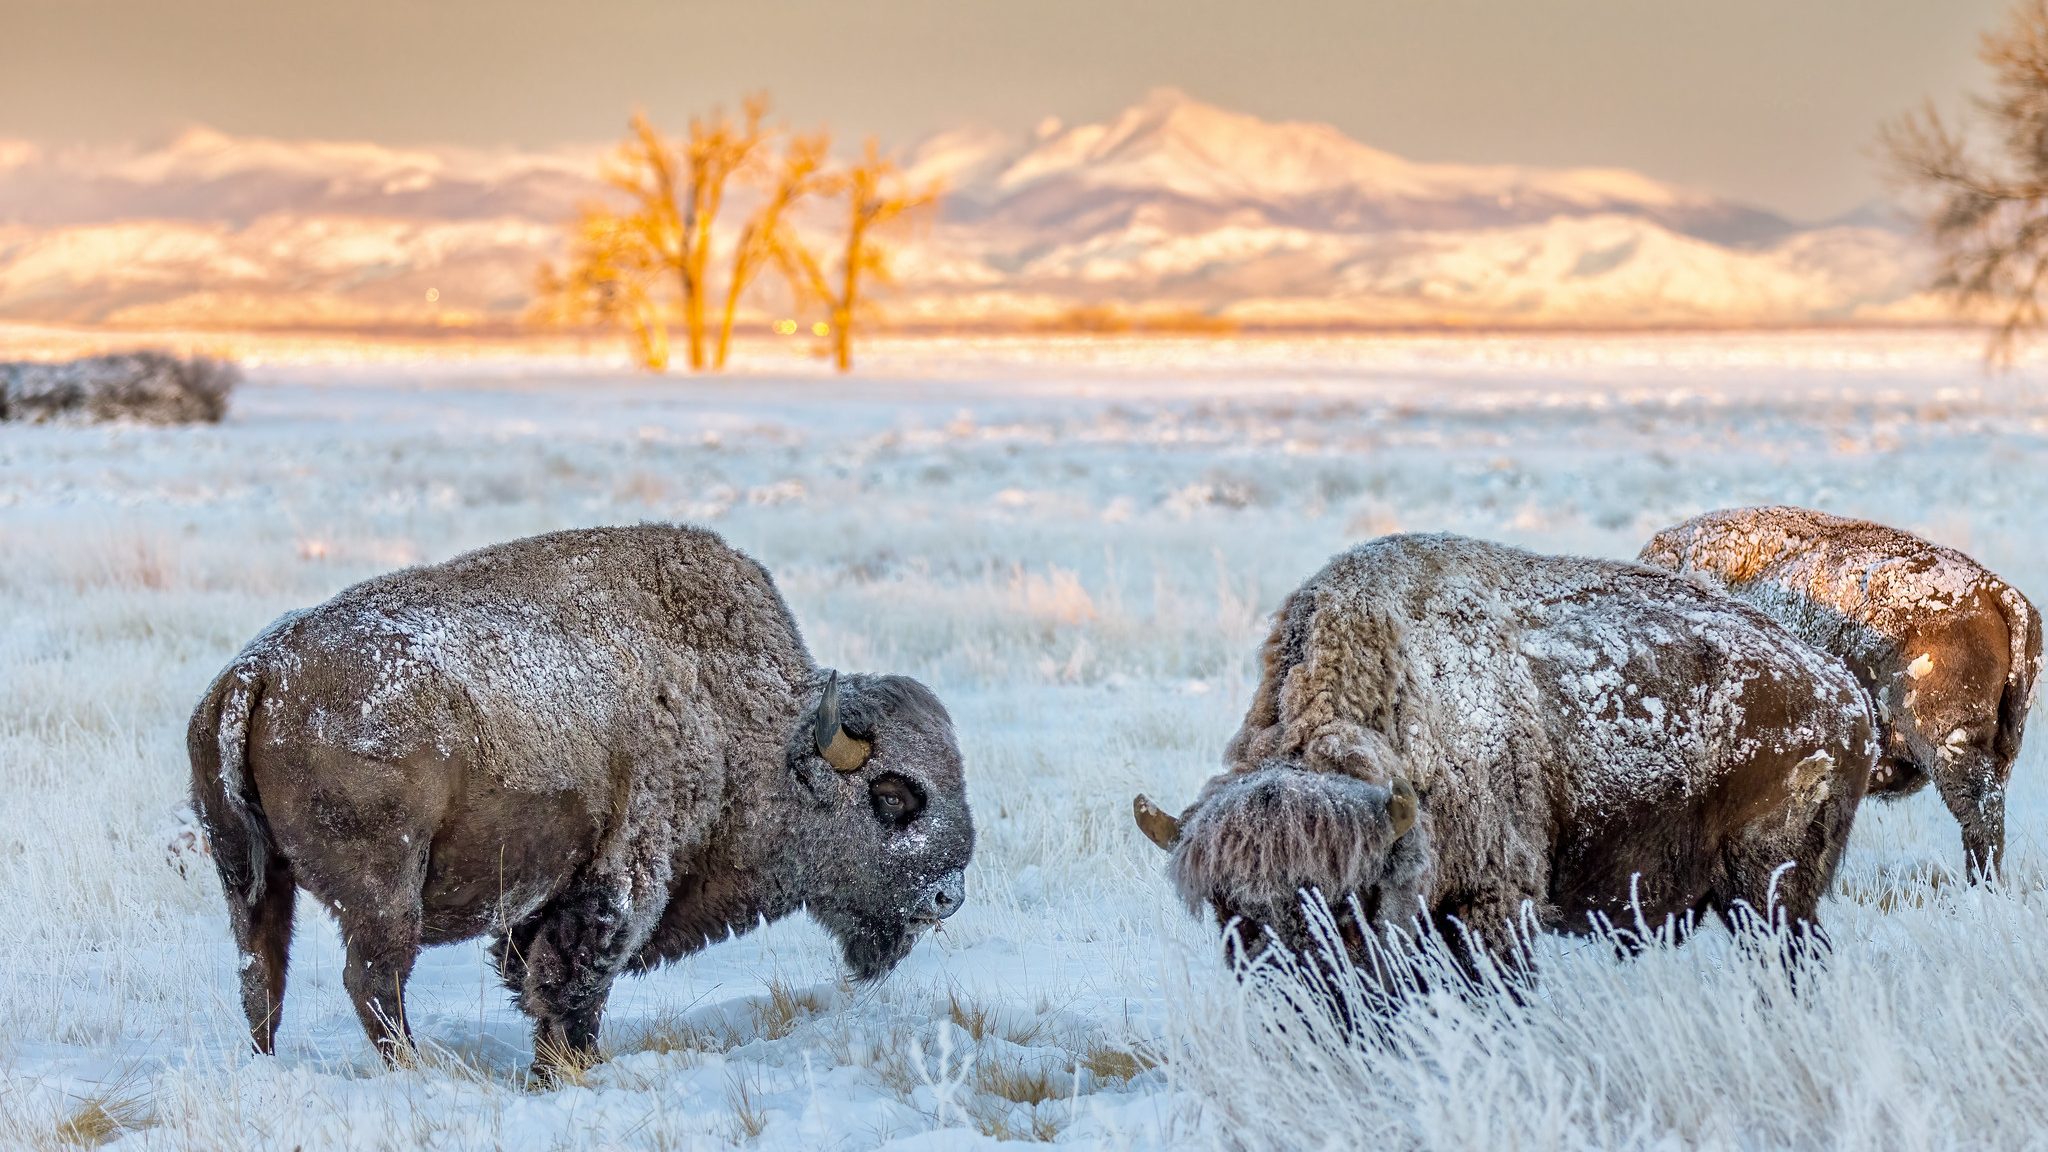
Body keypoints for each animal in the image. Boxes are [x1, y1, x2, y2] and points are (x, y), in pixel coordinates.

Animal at [190, 524, 974, 1074]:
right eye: (893, 795)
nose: (947, 896)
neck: (752, 722)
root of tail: (257, 671)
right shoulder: (617, 884)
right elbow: (573, 986)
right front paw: (571, 1067)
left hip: (251, 878)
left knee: (262, 973)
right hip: (384, 894)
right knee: (374, 980)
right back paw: (416, 1071)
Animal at [1130, 532, 1875, 971]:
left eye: (1345, 908)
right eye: (1230, 915)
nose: (1293, 995)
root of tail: (1843, 691)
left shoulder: (1492, 903)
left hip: (1769, 888)